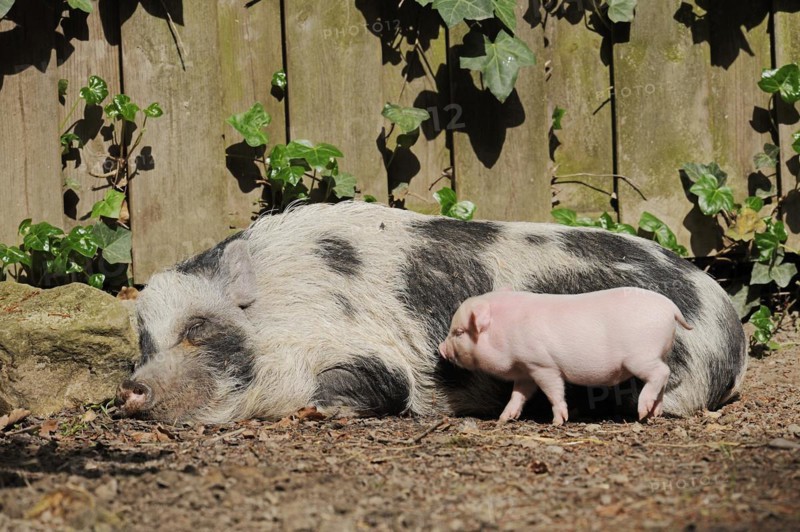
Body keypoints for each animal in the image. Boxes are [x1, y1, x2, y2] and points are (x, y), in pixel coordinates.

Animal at [439, 288, 694, 424]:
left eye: (459, 332)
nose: (440, 348)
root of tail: (671, 308)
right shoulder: (526, 370)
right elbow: (519, 394)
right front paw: (505, 418)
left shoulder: (543, 364)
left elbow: (554, 391)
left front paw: (558, 421)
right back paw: (654, 414)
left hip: (641, 356)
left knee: (661, 373)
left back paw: (642, 412)